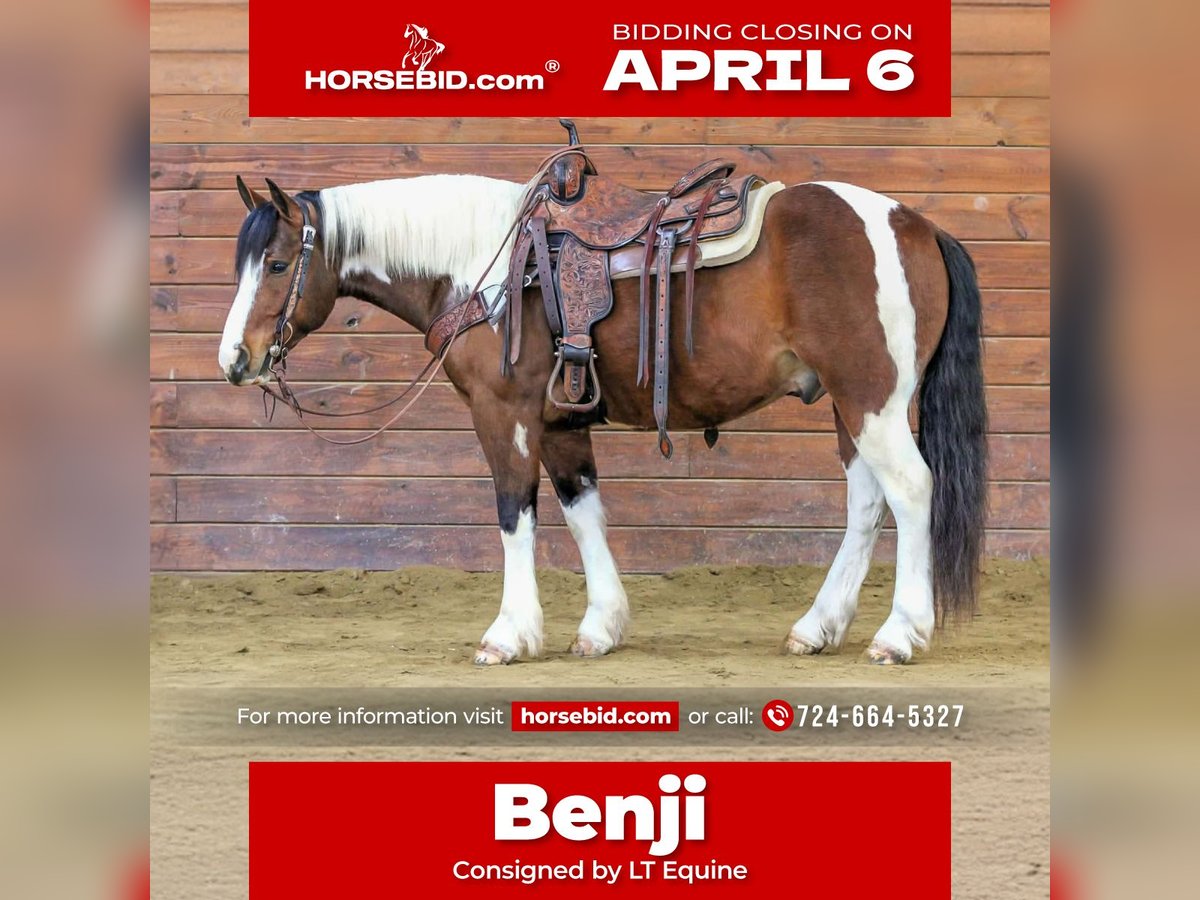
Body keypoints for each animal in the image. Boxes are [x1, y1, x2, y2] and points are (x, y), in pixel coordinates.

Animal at [218, 165, 988, 666]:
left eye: (279, 264)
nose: (236, 358)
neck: (483, 266)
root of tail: (916, 225)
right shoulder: (561, 423)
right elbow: (583, 513)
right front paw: (602, 627)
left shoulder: (505, 414)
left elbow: (514, 514)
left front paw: (508, 634)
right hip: (850, 406)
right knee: (866, 503)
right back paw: (818, 627)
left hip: (871, 399)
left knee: (911, 491)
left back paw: (899, 633)